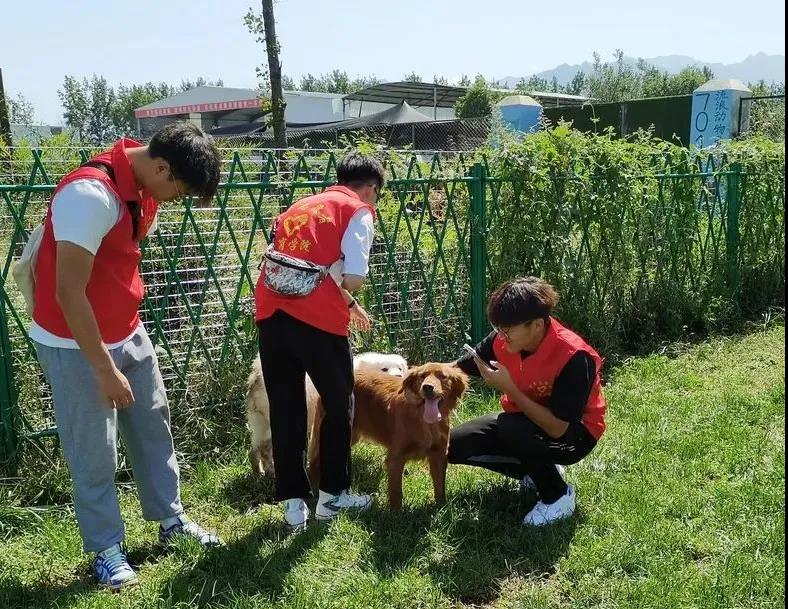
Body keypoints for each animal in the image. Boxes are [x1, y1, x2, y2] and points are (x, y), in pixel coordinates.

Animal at [246, 351, 408, 477]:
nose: (399, 375)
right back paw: (271, 472)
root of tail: (257, 375)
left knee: (255, 449)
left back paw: (259, 472)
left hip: (261, 424)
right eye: (384, 369)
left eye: (400, 368)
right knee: (265, 449)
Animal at [312, 362, 468, 510]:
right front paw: (396, 514)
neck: (424, 420)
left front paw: (441, 507)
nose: (427, 387)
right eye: (422, 376)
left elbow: (440, 487)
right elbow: (396, 492)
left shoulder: (439, 455)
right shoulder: (396, 458)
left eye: (443, 376)